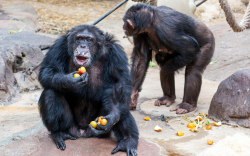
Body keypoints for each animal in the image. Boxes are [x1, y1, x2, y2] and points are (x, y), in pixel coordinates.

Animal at [38, 25, 139, 155]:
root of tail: (83, 133)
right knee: (51, 92)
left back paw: (128, 141)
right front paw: (69, 81)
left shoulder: (115, 52)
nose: (82, 46)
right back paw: (59, 133)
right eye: (79, 38)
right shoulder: (58, 46)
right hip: (71, 127)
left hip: (100, 131)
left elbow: (118, 83)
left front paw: (112, 118)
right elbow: (48, 70)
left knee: (122, 106)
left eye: (89, 40)